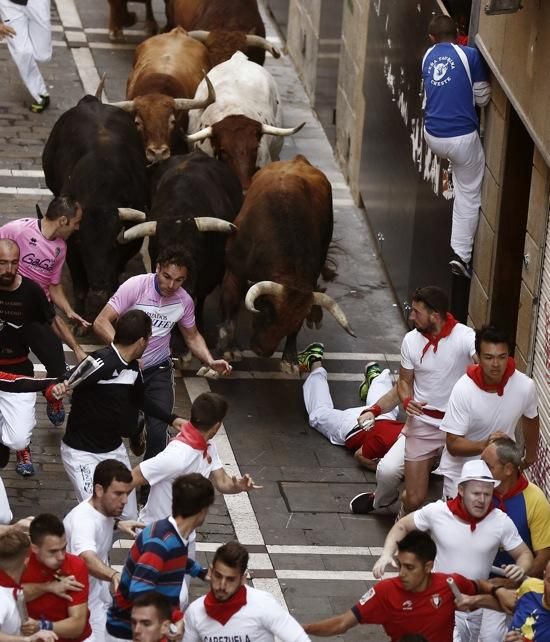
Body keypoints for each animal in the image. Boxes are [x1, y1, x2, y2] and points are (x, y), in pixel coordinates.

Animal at [42, 95, 150, 320]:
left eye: (113, 246)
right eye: (84, 246)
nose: (99, 287)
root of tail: (91, 101)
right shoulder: (72, 249)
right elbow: (80, 287)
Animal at [218, 154, 356, 370]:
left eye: (295, 323)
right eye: (267, 313)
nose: (262, 351)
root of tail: (298, 159)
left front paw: (290, 358)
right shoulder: (234, 270)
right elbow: (230, 304)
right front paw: (230, 349)